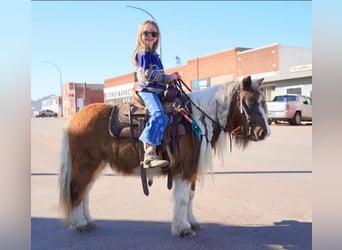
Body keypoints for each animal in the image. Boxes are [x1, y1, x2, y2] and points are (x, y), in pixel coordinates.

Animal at [60, 75, 272, 237]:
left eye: (263, 102)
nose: (265, 133)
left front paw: (192, 222)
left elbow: (191, 196)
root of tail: (74, 119)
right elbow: (183, 198)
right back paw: (80, 223)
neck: (196, 119)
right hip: (85, 165)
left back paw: (89, 221)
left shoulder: (191, 170)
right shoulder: (185, 169)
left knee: (85, 193)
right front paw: (183, 228)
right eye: (251, 102)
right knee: (77, 191)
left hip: (95, 166)